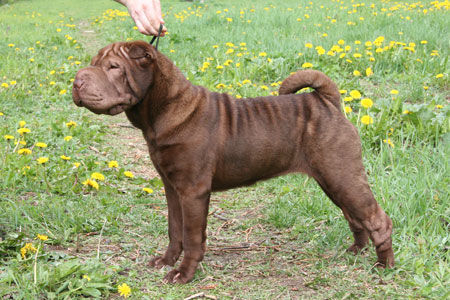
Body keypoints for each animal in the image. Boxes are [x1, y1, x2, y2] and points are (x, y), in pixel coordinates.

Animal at [72, 41, 392, 282]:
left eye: (114, 67)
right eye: (93, 62)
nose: (76, 81)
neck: (164, 110)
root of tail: (327, 101)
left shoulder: (193, 191)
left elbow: (191, 236)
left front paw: (183, 274)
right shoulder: (172, 187)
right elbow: (175, 229)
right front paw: (166, 261)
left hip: (342, 174)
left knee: (378, 219)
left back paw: (384, 266)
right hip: (332, 179)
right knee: (354, 215)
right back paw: (356, 251)